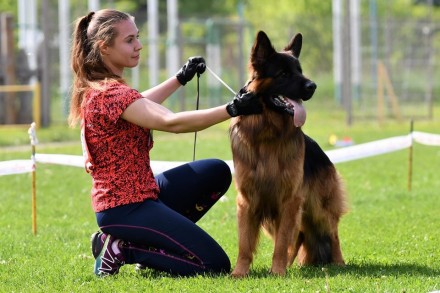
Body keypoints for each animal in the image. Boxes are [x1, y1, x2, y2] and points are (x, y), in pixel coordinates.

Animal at [230, 31, 348, 276]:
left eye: (300, 71)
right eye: (283, 74)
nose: (313, 86)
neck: (267, 134)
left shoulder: (289, 201)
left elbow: (282, 242)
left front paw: (277, 272)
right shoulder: (247, 201)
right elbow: (245, 243)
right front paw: (240, 273)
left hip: (319, 208)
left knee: (331, 234)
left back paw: (338, 262)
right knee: (301, 236)